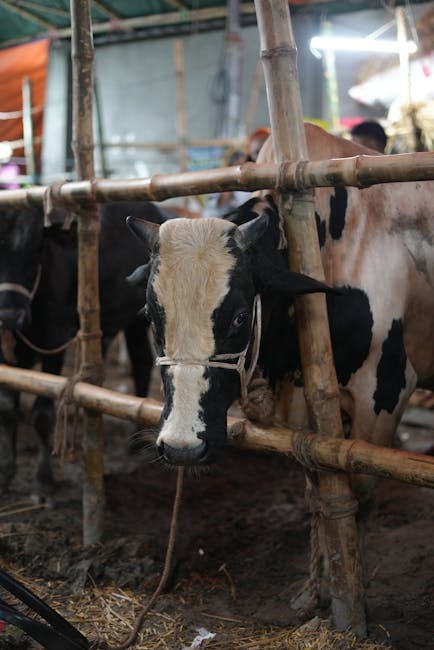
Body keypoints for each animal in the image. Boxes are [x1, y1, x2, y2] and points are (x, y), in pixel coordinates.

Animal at [0, 200, 175, 499]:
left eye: (38, 246)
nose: (10, 316)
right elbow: (8, 409)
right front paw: (7, 473)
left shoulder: (54, 341)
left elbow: (42, 414)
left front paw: (43, 481)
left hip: (139, 318)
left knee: (141, 364)